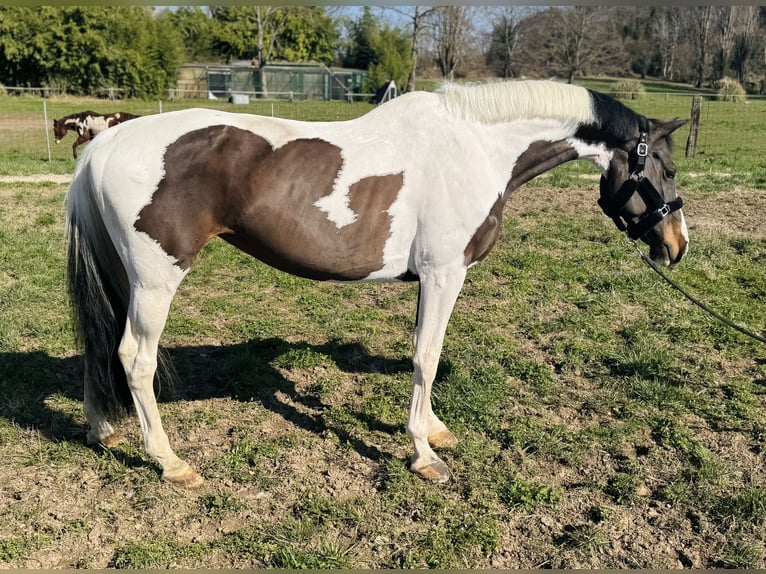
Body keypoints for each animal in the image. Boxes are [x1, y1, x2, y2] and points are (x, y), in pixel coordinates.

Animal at [66, 79, 688, 488]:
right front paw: (424, 455)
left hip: (123, 275)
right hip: (155, 279)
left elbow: (423, 353)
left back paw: (104, 431)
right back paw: (171, 462)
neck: (474, 147)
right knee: (134, 357)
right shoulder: (444, 273)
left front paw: (434, 431)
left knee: (99, 345)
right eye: (667, 167)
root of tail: (103, 145)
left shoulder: (433, 278)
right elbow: (427, 357)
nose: (677, 245)